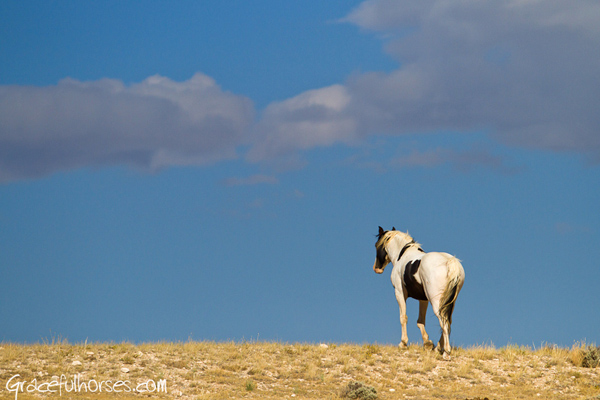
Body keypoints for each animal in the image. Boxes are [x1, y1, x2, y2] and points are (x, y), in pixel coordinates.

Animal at [372, 225, 466, 356]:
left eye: (376, 244)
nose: (377, 268)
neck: (403, 255)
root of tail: (450, 262)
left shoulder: (399, 293)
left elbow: (403, 317)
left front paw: (403, 343)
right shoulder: (423, 299)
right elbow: (420, 321)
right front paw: (427, 343)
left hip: (436, 301)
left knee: (443, 320)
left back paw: (446, 351)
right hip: (450, 301)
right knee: (448, 321)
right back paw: (438, 348)